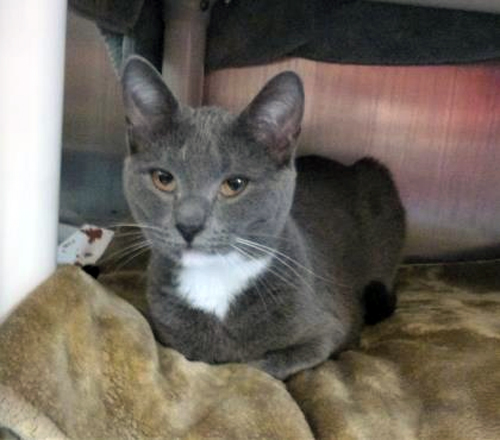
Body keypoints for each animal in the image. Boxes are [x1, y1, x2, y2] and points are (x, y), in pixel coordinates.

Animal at [121, 54, 406, 378]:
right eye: (163, 179)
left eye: (235, 184)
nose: (188, 225)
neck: (215, 281)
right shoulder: (166, 332)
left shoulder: (328, 328)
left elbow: (262, 366)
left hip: (378, 181)